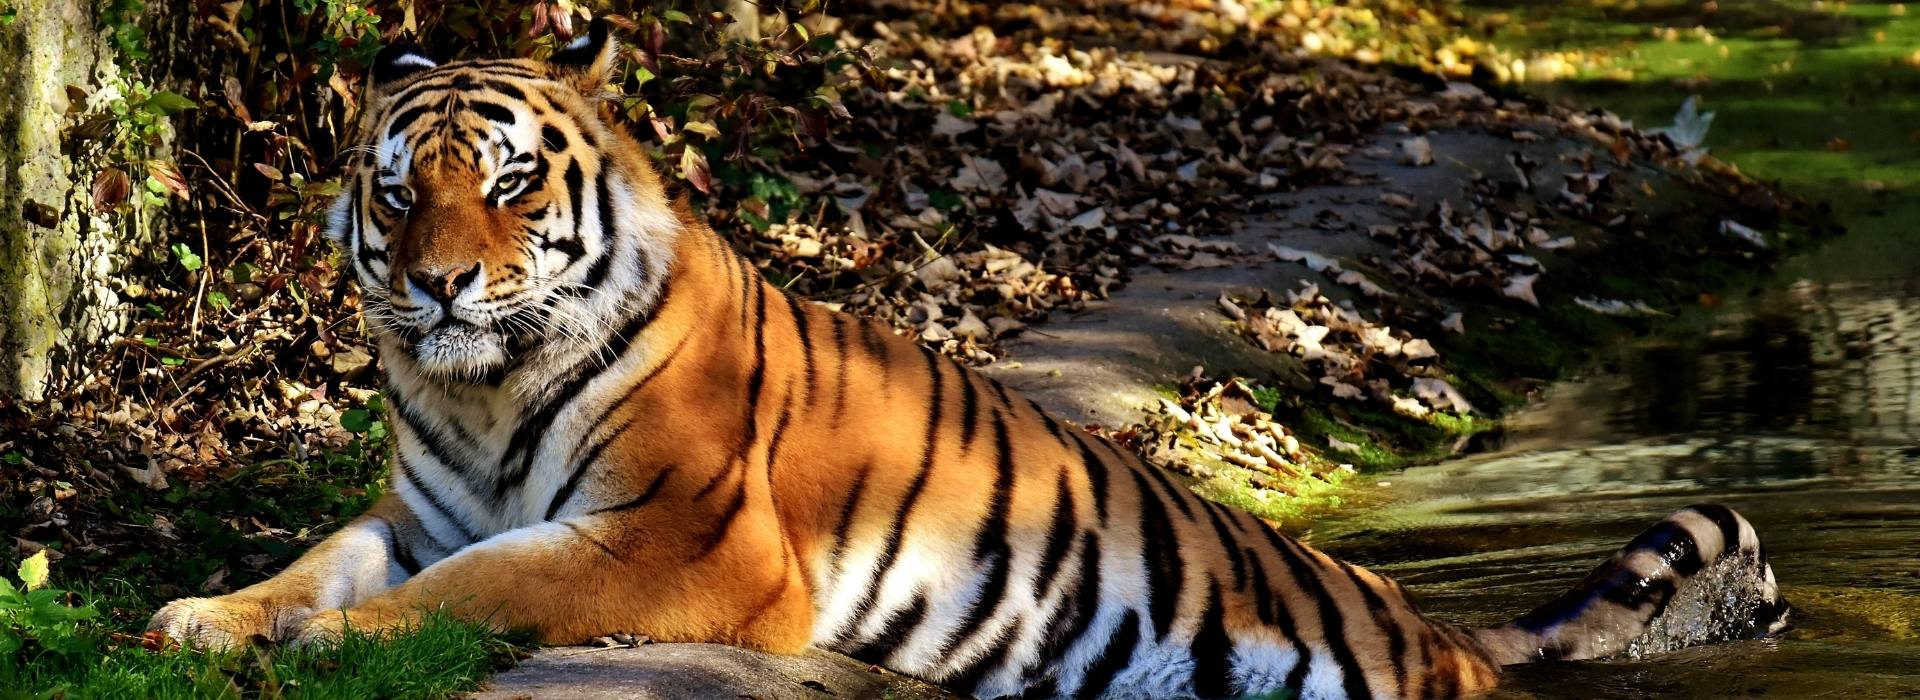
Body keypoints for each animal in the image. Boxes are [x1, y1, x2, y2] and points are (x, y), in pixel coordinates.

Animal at [148, 21, 1791, 699]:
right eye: (393, 190)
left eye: (503, 185)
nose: (433, 285)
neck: (474, 388)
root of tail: (1431, 629)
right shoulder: (412, 509)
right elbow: (321, 562)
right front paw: (208, 619)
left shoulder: (685, 541)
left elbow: (486, 588)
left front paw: (330, 648)